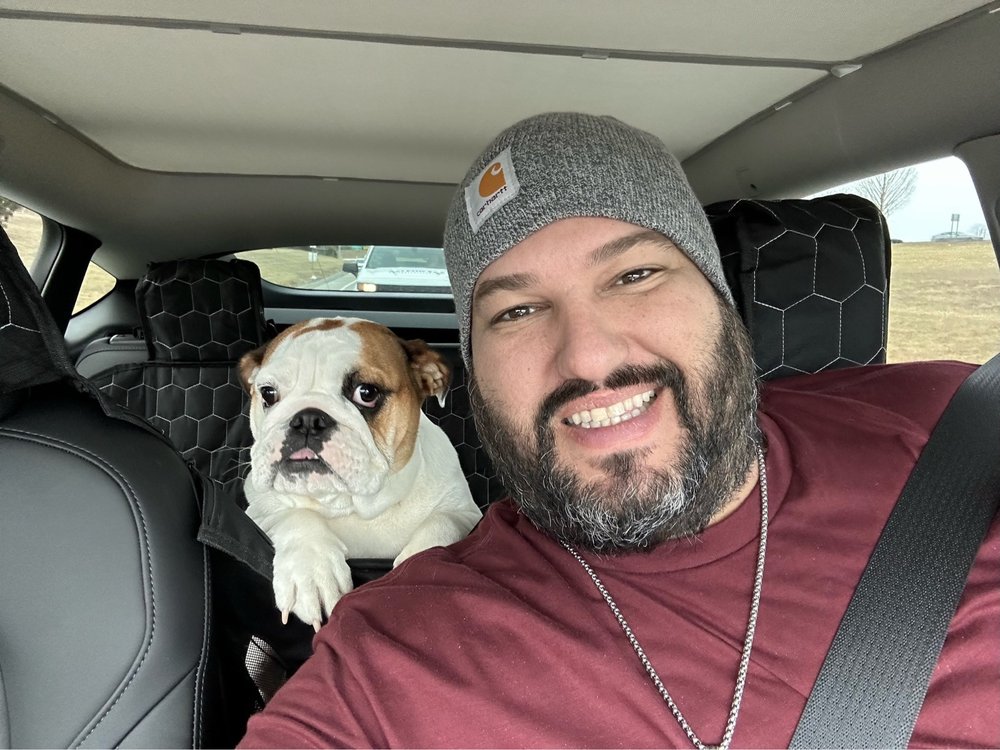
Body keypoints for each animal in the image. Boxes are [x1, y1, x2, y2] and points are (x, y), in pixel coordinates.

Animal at [239, 316, 482, 630]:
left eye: (366, 393)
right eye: (268, 393)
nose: (307, 419)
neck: (354, 505)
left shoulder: (464, 512)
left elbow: (442, 524)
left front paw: (416, 567)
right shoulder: (257, 507)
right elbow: (295, 516)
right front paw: (312, 570)